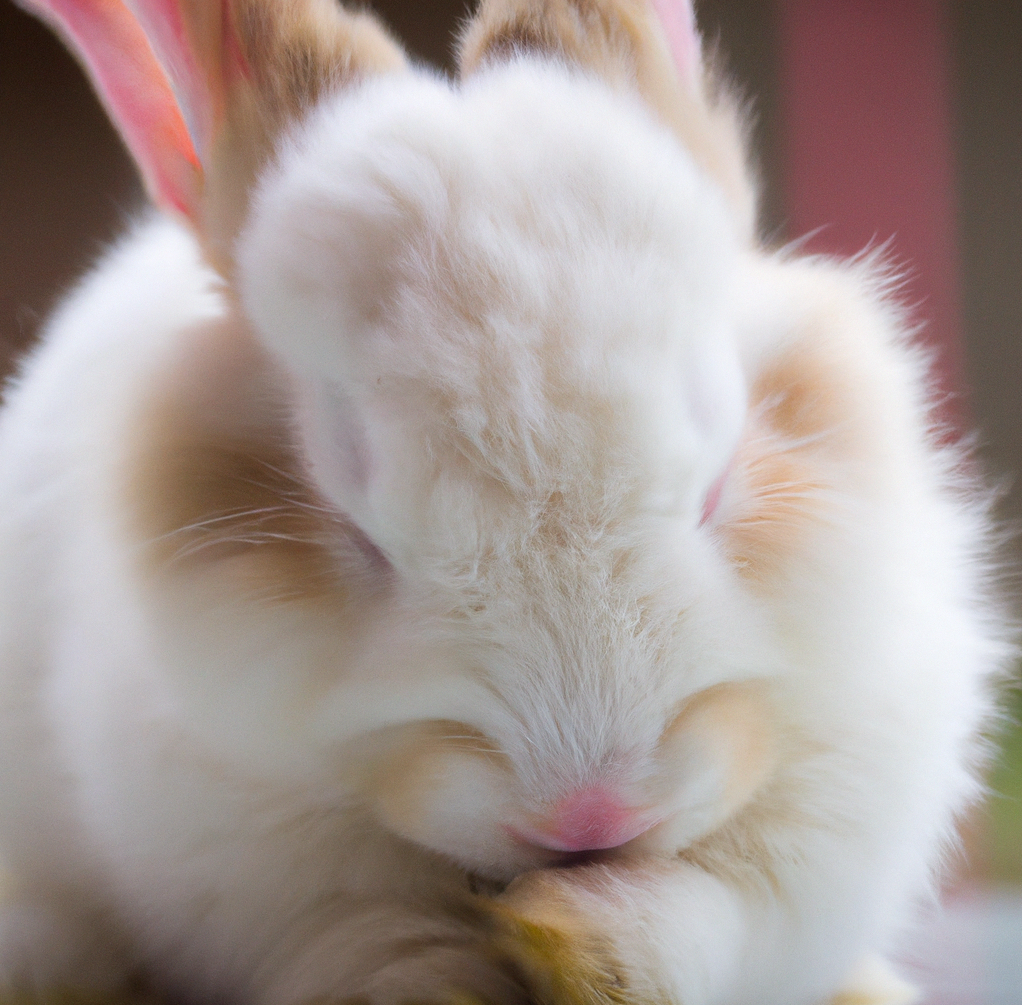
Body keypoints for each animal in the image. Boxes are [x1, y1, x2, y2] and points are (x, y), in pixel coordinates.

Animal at [0, 0, 1009, 1001]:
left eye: (718, 482)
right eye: (360, 530)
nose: (590, 814)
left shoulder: (842, 806)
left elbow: (721, 921)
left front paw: (579, 932)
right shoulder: (253, 866)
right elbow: (379, 947)